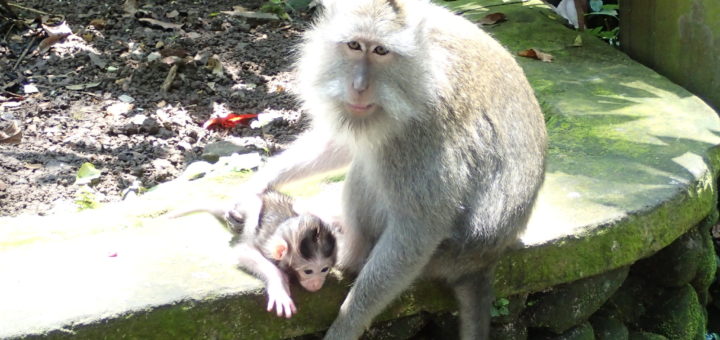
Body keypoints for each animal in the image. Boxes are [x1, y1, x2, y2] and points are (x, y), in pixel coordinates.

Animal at [236, 0, 544, 338]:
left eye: (381, 51)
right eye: (354, 46)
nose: (358, 87)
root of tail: (482, 261)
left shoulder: (417, 134)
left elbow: (417, 232)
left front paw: (345, 325)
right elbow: (347, 142)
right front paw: (256, 185)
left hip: (445, 255)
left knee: (367, 174)